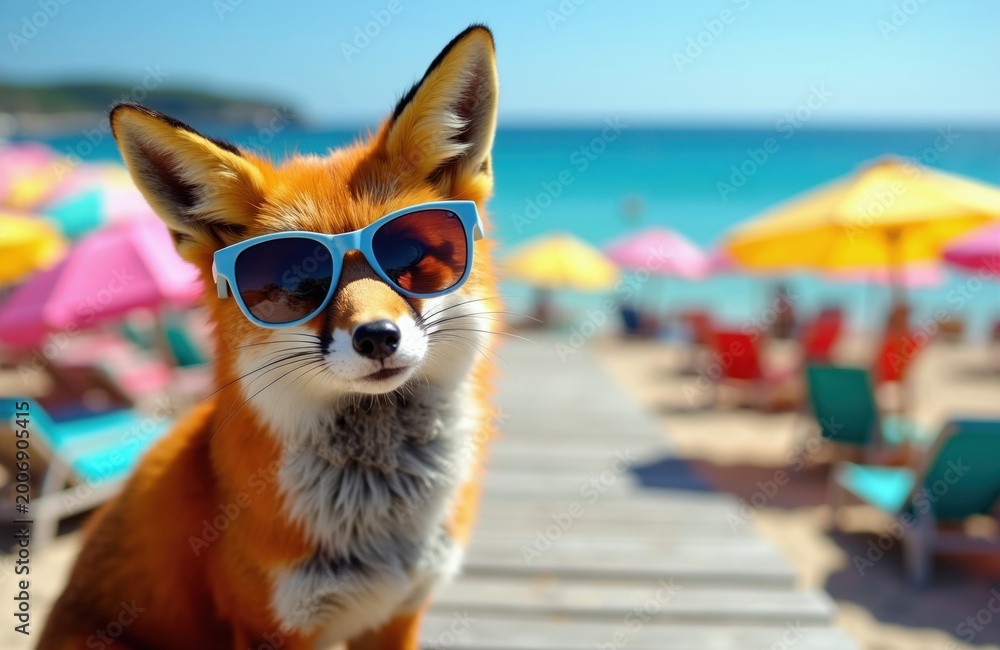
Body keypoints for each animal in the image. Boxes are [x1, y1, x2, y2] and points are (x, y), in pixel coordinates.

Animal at [37, 25, 501, 650]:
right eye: (296, 279)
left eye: (407, 254)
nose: (378, 337)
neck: (379, 527)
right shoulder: (272, 626)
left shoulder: (400, 612)